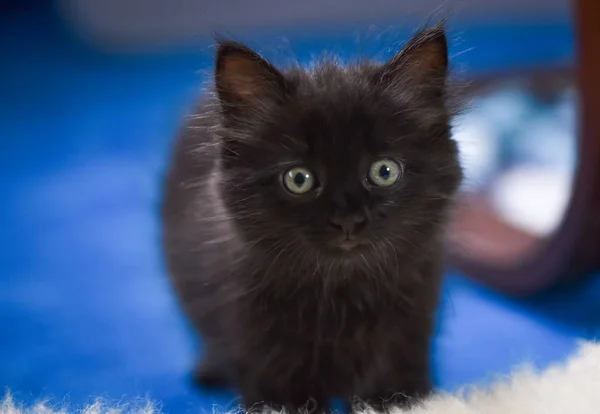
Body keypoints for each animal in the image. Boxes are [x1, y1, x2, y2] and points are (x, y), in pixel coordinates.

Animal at [162, 24, 462, 412]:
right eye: (298, 179)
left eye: (384, 171)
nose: (349, 219)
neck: (342, 296)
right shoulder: (271, 368)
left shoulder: (403, 351)